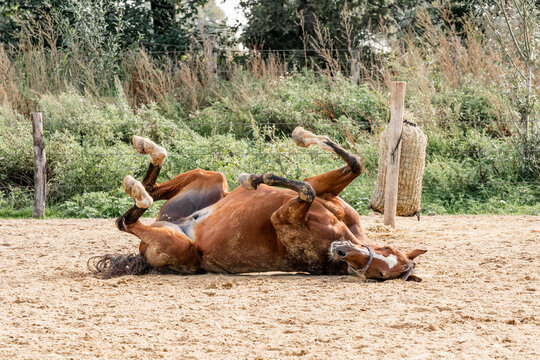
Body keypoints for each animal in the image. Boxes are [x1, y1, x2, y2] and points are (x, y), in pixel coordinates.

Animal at [88, 127, 426, 282]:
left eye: (380, 275)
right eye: (386, 251)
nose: (341, 251)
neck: (343, 233)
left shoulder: (282, 218)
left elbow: (305, 191)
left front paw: (254, 177)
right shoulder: (324, 191)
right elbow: (352, 165)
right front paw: (300, 137)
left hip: (179, 247)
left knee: (129, 219)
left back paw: (136, 187)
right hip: (208, 179)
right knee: (153, 186)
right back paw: (147, 148)